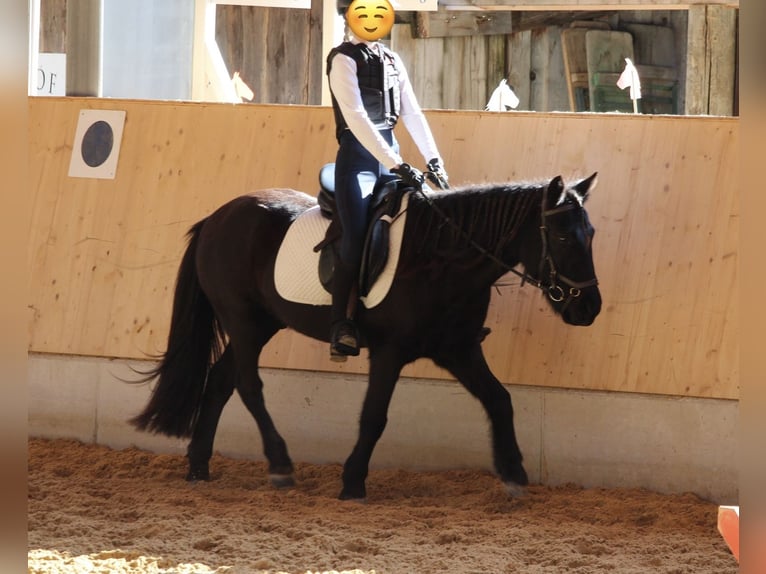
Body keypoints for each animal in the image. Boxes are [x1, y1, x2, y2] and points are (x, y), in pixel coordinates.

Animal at [130, 172, 601, 501]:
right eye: (562, 235)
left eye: (591, 233)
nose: (589, 308)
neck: (440, 258)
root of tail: (217, 217)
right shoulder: (390, 352)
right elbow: (374, 417)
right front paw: (353, 481)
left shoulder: (458, 349)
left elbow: (499, 400)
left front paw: (514, 474)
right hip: (243, 321)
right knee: (247, 385)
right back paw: (280, 465)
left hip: (262, 324)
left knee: (220, 381)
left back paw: (199, 467)